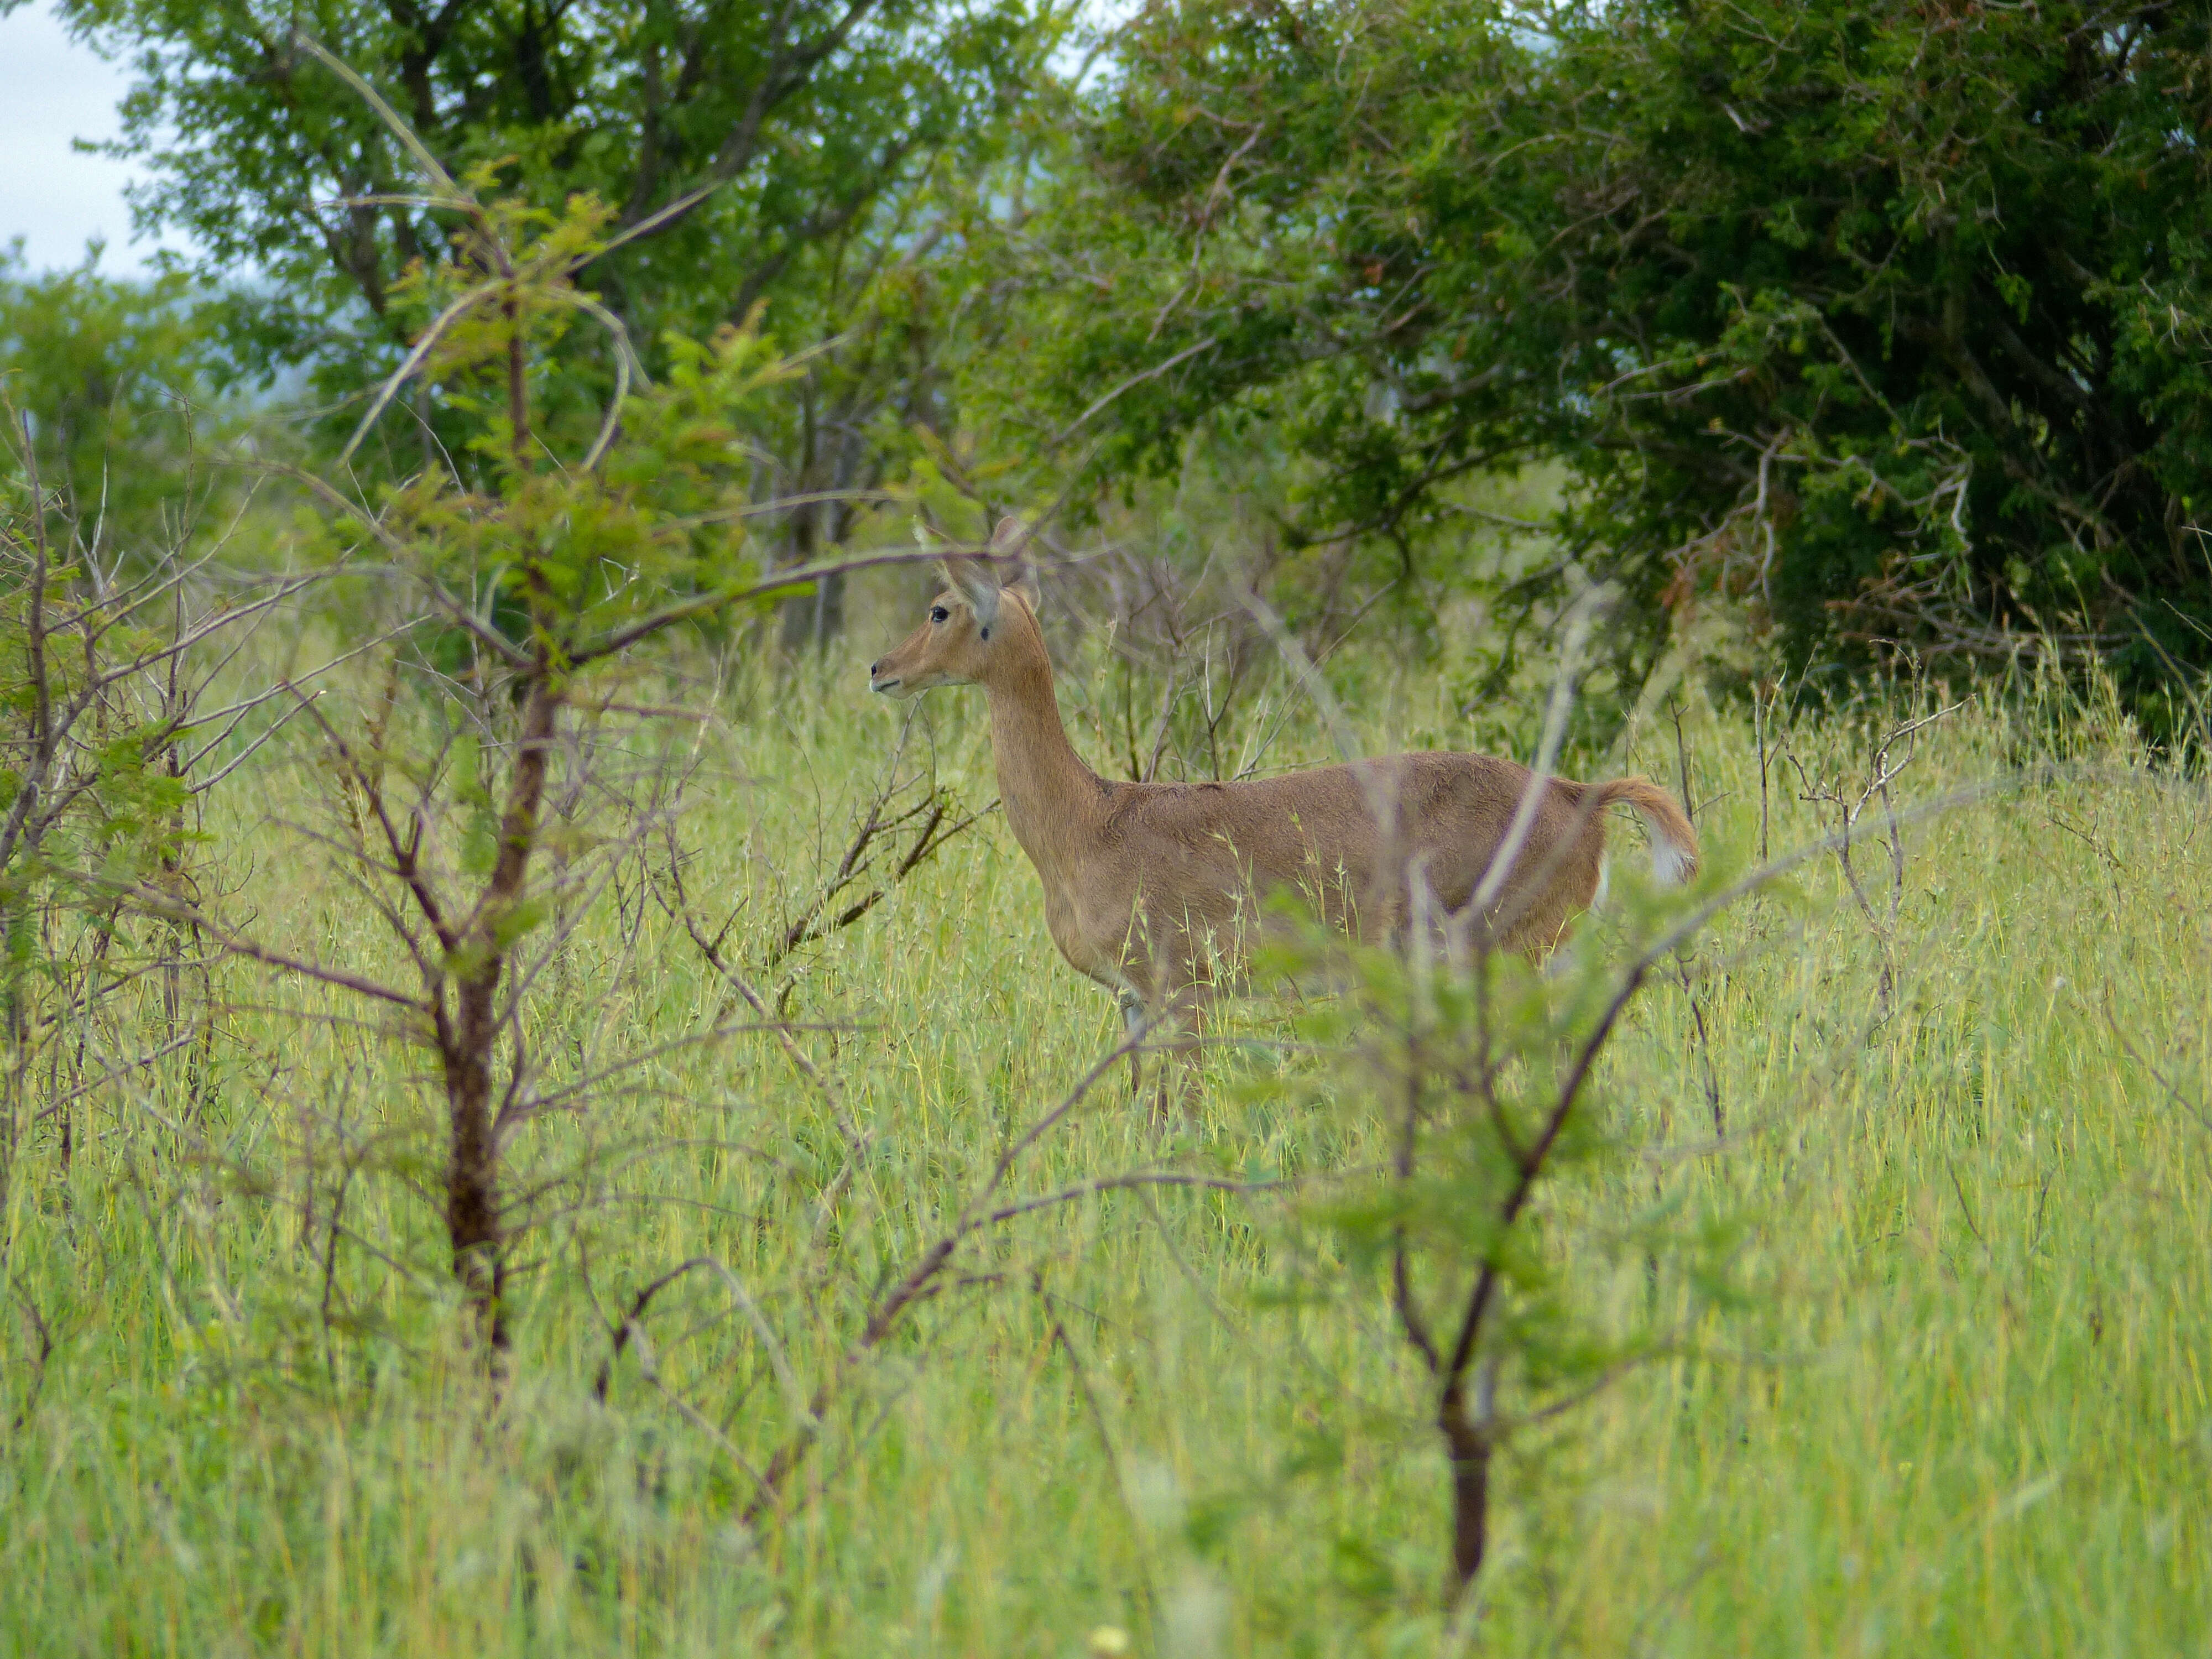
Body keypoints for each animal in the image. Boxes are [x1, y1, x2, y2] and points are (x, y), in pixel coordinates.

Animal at [863, 526, 1690, 1084]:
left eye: (940, 608)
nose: (880, 669)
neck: (1090, 822)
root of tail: (1580, 794)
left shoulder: (1184, 993)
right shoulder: (1131, 1003)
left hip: (1506, 957)